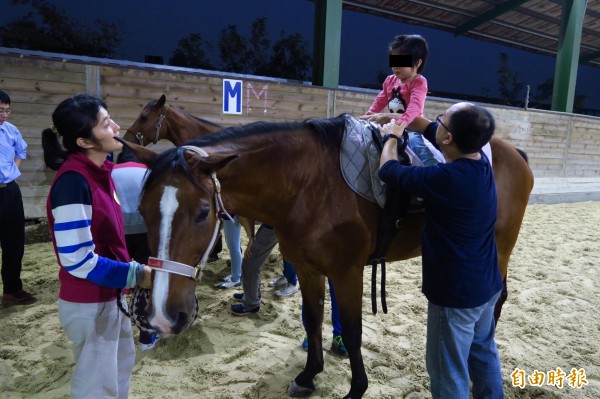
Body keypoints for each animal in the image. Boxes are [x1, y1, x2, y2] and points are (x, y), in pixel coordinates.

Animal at [125, 114, 536, 398]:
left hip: (499, 248)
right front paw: (309, 376)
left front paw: (356, 388)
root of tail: (514, 152)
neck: (309, 183)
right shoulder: (310, 270)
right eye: (142, 210)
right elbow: (312, 321)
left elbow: (352, 331)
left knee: (495, 299)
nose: (161, 316)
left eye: (202, 213)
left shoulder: (347, 272)